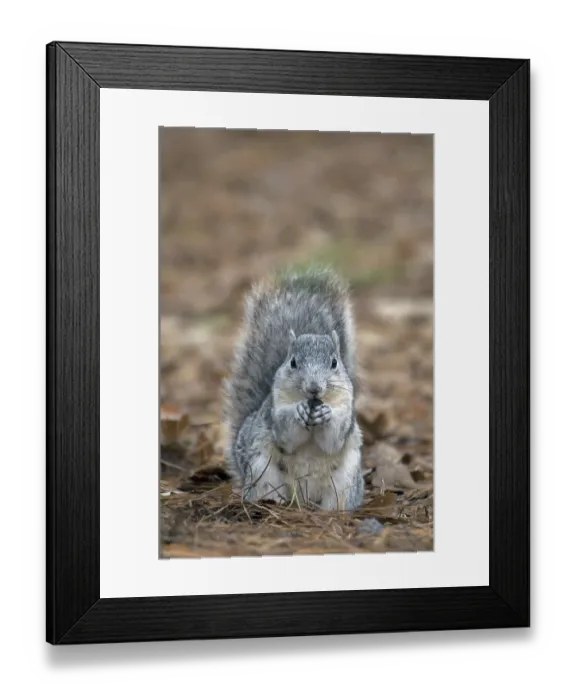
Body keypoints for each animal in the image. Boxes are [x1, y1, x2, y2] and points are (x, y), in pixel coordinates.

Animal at [222, 267, 364, 511]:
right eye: (293, 362)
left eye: (334, 362)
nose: (314, 387)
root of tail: (305, 501)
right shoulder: (274, 410)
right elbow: (286, 435)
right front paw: (298, 411)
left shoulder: (346, 411)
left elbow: (333, 440)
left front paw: (326, 414)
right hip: (263, 473)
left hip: (344, 483)